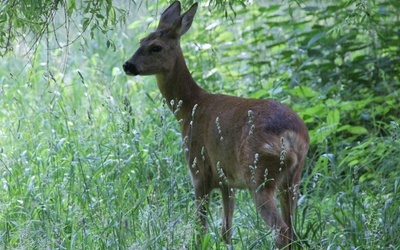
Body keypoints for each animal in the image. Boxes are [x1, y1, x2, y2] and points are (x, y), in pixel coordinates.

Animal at [122, 1, 310, 248]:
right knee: (293, 229)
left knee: (282, 230)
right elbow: (225, 231)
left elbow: (200, 228)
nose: (127, 65)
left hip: (259, 172)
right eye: (141, 41)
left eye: (156, 47)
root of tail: (291, 136)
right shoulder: (226, 179)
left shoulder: (199, 169)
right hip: (293, 177)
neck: (190, 108)